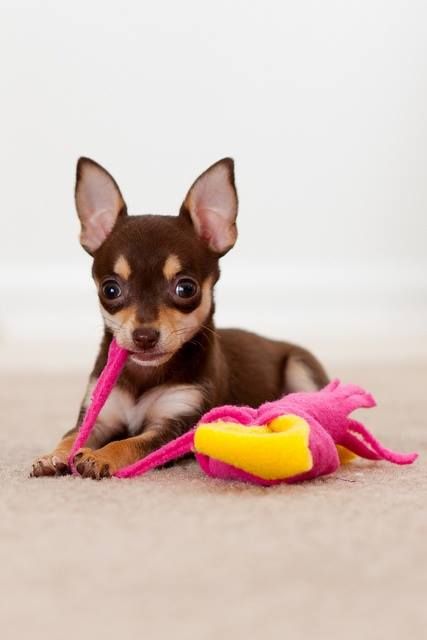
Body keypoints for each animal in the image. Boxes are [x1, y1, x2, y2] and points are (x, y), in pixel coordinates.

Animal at [31, 157, 328, 479]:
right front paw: (53, 456)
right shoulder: (99, 416)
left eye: (186, 288)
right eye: (110, 290)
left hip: (300, 367)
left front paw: (100, 456)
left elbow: (130, 443)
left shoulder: (175, 426)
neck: (145, 375)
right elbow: (71, 436)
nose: (144, 336)